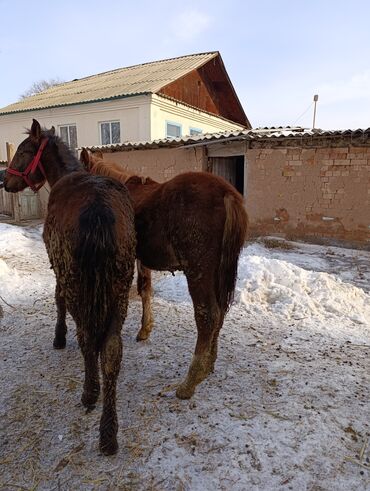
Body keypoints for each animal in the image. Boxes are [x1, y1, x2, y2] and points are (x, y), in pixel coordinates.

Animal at [3, 120, 136, 458]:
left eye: (22, 151)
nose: (4, 181)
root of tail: (99, 212)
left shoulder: (57, 268)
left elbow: (57, 300)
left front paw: (59, 337)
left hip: (78, 283)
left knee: (88, 338)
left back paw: (90, 393)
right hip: (119, 288)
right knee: (111, 350)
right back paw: (109, 434)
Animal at [80, 149, 249, 400]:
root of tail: (227, 193)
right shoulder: (142, 259)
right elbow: (145, 289)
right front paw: (144, 329)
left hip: (199, 272)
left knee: (208, 316)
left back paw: (189, 382)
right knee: (219, 313)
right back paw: (208, 366)